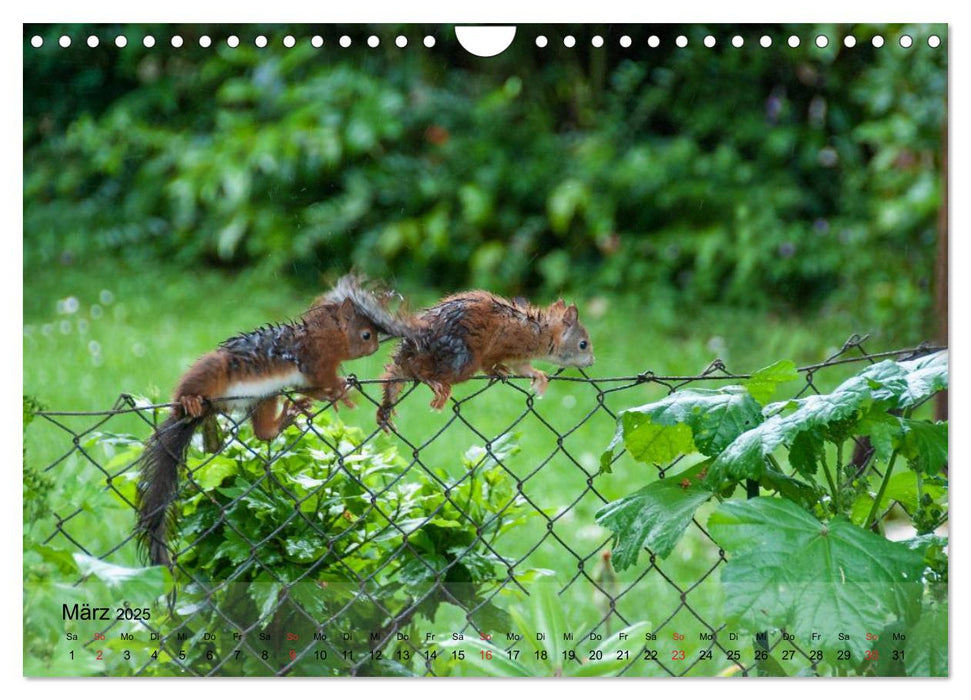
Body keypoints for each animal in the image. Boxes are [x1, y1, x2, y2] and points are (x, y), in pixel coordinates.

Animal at [136, 274, 402, 568]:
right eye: (366, 334)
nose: (376, 346)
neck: (329, 335)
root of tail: (209, 407)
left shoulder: (305, 377)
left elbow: (312, 389)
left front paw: (329, 396)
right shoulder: (316, 358)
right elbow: (324, 378)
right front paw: (342, 389)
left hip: (265, 396)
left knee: (263, 431)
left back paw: (284, 419)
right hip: (213, 370)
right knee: (188, 391)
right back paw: (189, 401)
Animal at [376, 288, 596, 430]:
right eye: (583, 344)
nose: (592, 362)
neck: (541, 332)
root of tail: (409, 346)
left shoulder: (520, 358)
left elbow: (524, 368)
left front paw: (539, 377)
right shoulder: (505, 344)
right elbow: (490, 364)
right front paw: (498, 370)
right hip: (460, 358)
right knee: (418, 367)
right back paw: (433, 381)